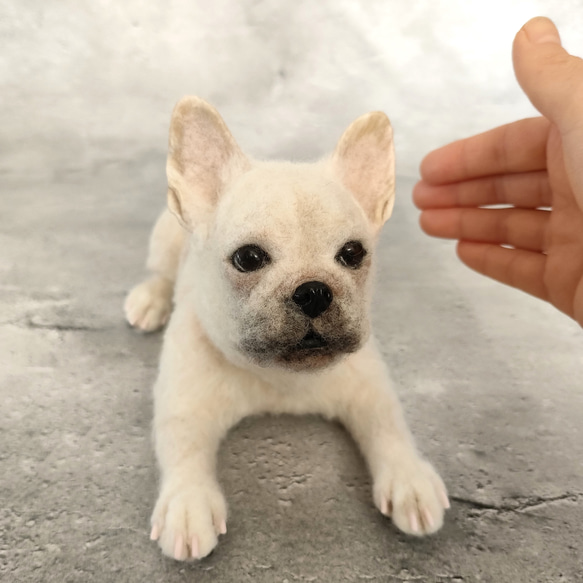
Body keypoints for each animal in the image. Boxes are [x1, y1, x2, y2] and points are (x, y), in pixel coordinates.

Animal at [124, 98, 452, 564]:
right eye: (247, 258)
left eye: (353, 253)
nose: (313, 291)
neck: (279, 375)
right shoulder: (185, 403)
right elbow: (182, 446)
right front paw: (187, 504)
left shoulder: (369, 389)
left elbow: (389, 426)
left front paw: (409, 477)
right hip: (166, 239)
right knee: (161, 272)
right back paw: (150, 299)